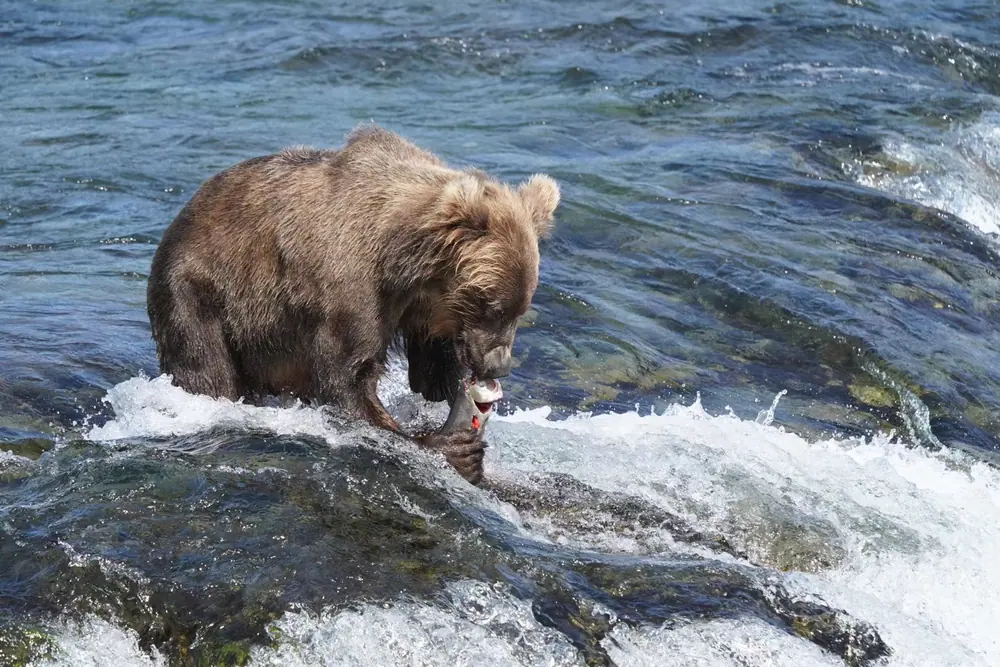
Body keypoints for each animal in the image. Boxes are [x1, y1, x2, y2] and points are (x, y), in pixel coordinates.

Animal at [146, 124, 559, 484]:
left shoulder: (427, 310)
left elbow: (431, 371)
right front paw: (450, 447)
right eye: (492, 306)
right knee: (206, 366)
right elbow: (346, 380)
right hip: (201, 290)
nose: (499, 365)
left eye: (520, 310)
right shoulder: (354, 286)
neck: (407, 263)